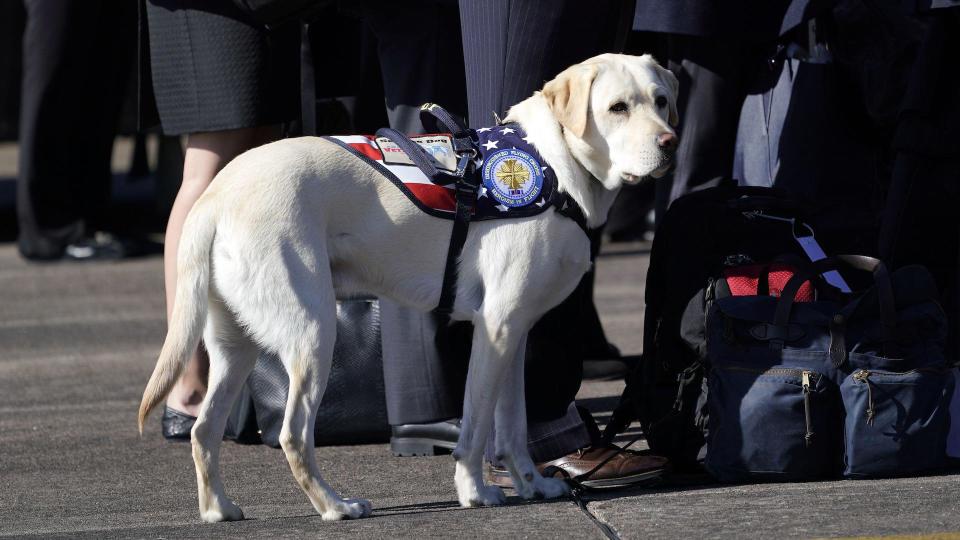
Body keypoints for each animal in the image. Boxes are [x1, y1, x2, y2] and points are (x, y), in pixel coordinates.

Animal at [139, 53, 680, 524]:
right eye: (617, 107)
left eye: (661, 100)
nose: (670, 142)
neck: (555, 165)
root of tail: (216, 193)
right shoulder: (496, 329)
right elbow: (476, 428)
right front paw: (475, 492)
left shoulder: (516, 334)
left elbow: (513, 427)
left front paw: (532, 485)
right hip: (312, 335)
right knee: (293, 436)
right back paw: (335, 506)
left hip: (236, 346)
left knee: (204, 431)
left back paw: (218, 509)